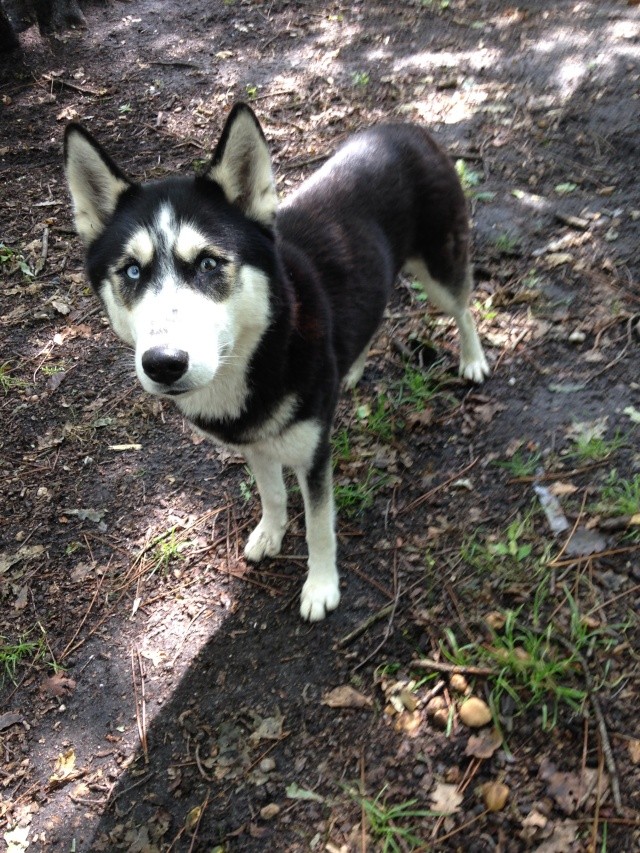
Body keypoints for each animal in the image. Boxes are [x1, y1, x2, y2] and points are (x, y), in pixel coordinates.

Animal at [62, 106, 488, 624]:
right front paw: (271, 532)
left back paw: (473, 359)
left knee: (463, 308)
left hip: (440, 268)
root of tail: (406, 128)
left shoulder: (313, 453)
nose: (164, 363)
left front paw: (321, 585)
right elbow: (272, 493)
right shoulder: (253, 443)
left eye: (208, 264)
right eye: (131, 271)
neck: (264, 350)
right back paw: (351, 368)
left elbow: (320, 525)